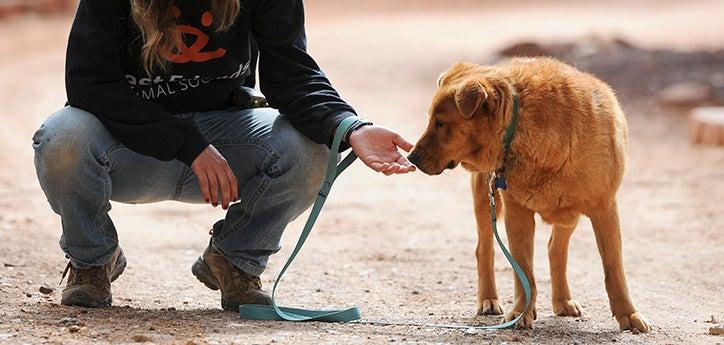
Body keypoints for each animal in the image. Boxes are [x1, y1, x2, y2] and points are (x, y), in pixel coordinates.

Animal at [408, 57, 652, 332]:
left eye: (440, 123)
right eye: (431, 120)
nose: (411, 158)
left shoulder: (604, 207)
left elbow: (614, 269)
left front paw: (628, 314)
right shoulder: (517, 210)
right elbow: (523, 269)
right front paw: (520, 312)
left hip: (569, 212)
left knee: (556, 249)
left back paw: (562, 300)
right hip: (486, 200)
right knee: (484, 250)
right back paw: (489, 300)